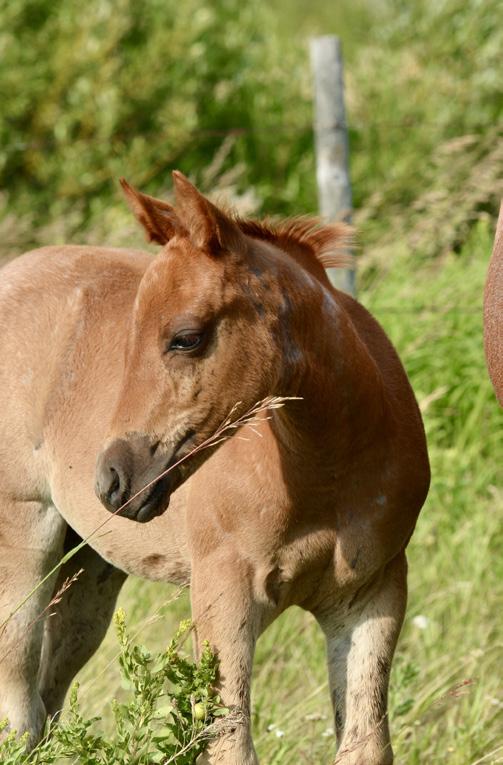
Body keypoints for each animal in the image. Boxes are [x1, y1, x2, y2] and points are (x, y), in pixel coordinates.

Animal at [0, 171, 430, 764]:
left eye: (186, 338)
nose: (112, 480)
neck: (328, 470)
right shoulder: (225, 596)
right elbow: (231, 746)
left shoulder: (371, 595)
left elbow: (364, 745)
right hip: (22, 531)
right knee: (19, 704)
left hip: (90, 566)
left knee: (48, 698)